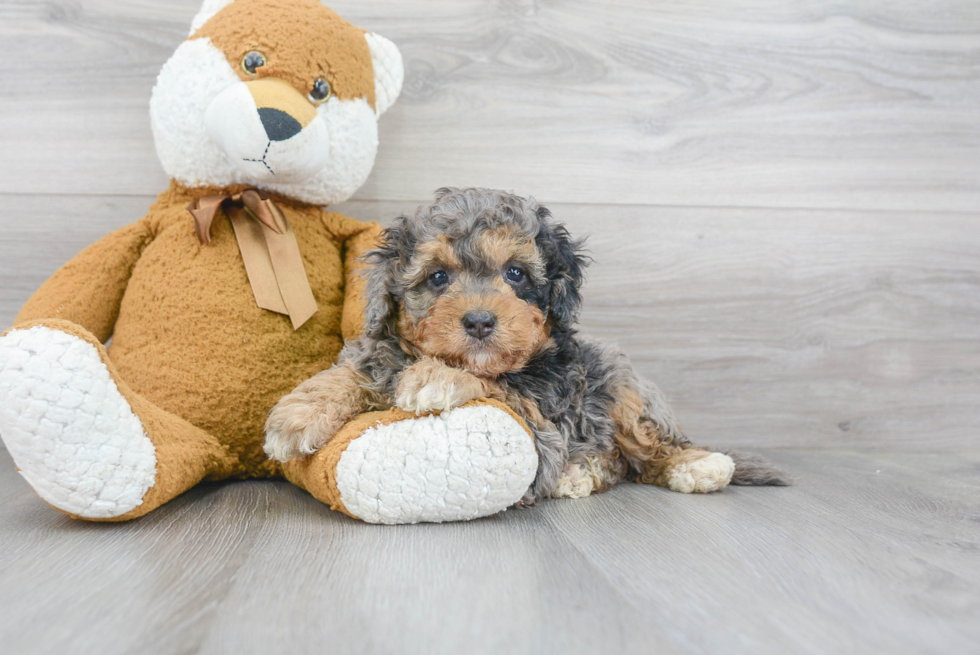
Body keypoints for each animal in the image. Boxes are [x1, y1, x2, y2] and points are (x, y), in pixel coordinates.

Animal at [262, 187, 788, 504]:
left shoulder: (541, 416)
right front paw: (297, 415)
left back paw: (697, 466)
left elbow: (495, 384)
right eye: (438, 277)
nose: (479, 321)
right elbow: (360, 368)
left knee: (649, 450)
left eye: (515, 273)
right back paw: (582, 472)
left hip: (621, 385)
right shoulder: (381, 350)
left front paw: (434, 377)